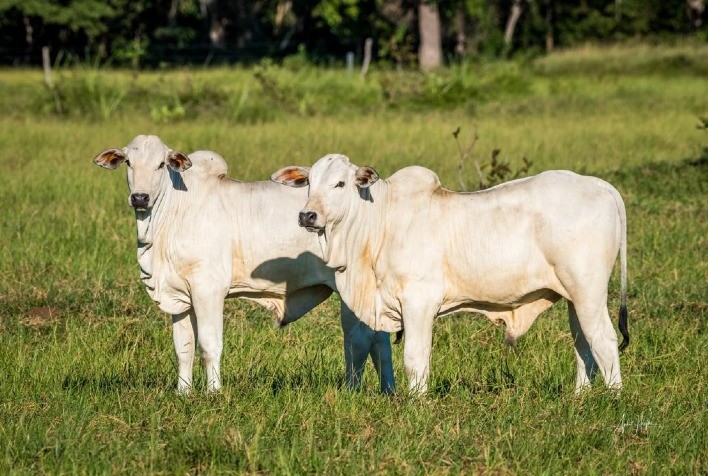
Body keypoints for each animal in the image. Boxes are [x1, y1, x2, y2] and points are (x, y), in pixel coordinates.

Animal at [92, 137, 396, 394]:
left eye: (160, 165)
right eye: (129, 163)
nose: (140, 198)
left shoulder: (208, 290)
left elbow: (209, 344)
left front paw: (213, 392)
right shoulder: (179, 295)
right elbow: (183, 347)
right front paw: (183, 392)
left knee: (363, 340)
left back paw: (361, 390)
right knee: (375, 339)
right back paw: (381, 390)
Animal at [272, 153, 632, 394]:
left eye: (340, 183)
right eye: (309, 184)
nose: (307, 215)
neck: (378, 223)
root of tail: (598, 185)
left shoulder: (419, 302)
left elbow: (415, 357)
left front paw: (416, 403)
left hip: (588, 291)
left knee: (604, 339)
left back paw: (614, 399)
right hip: (574, 297)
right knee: (584, 345)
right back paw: (579, 398)